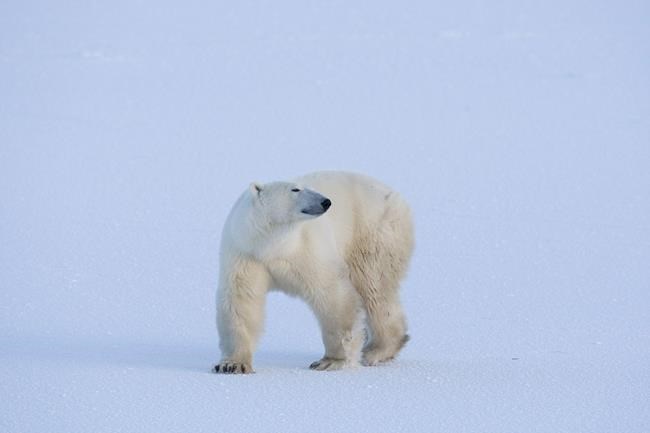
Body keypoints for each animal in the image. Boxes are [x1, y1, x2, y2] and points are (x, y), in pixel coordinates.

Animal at [213, 171, 414, 374]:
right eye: (295, 189)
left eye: (307, 187)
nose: (326, 201)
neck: (272, 246)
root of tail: (394, 194)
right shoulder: (245, 253)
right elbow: (241, 302)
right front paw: (232, 364)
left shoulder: (306, 249)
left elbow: (332, 295)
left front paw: (331, 361)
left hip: (372, 232)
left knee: (373, 287)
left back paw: (375, 351)